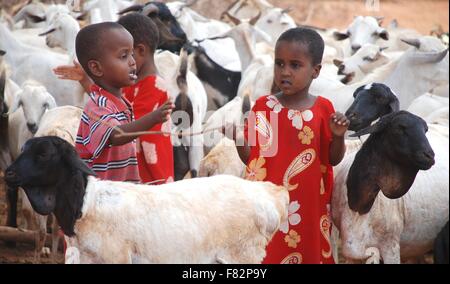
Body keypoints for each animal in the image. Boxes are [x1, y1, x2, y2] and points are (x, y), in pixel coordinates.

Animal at [4, 136, 288, 262]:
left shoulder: (116, 258)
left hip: (243, 256)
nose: (9, 173)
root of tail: (270, 196)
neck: (86, 206)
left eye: (43, 154)